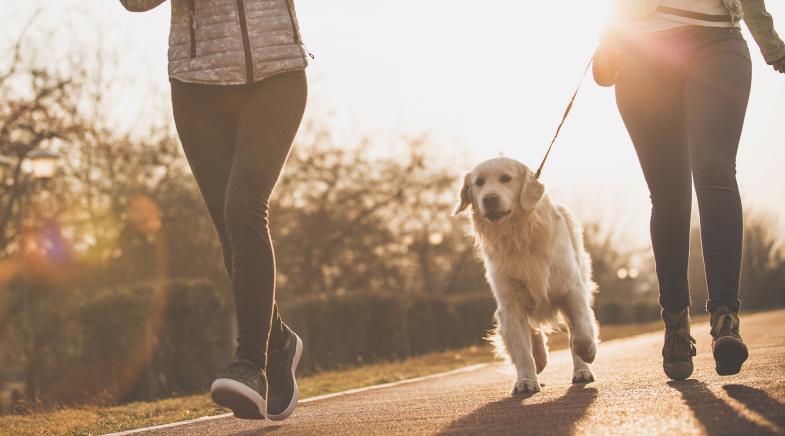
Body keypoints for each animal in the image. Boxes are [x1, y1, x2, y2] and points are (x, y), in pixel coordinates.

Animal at [450, 158, 596, 396]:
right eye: (479, 183)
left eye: (506, 178)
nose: (489, 199)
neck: (517, 234)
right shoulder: (510, 304)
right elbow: (520, 348)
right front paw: (526, 380)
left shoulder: (570, 289)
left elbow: (581, 332)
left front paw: (588, 352)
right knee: (533, 333)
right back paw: (540, 358)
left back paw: (582, 370)